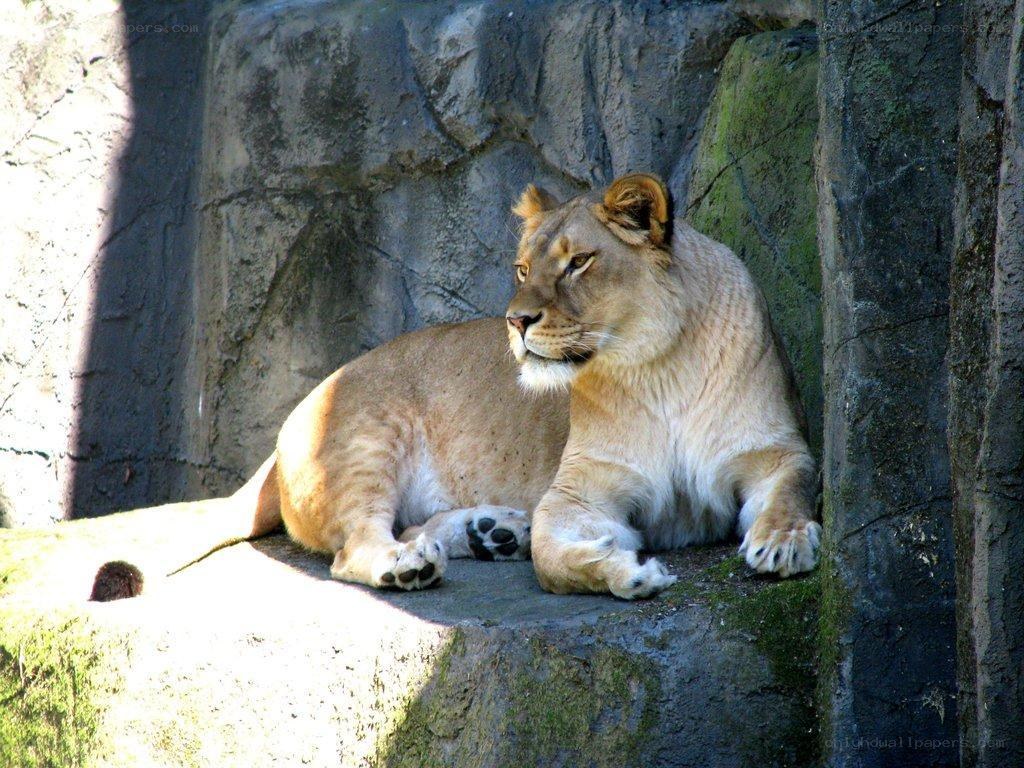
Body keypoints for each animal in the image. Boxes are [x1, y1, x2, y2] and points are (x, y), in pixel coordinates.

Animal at [94, 173, 820, 601]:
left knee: (416, 525)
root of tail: (282, 433)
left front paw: (784, 544)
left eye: (578, 263)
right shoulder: (582, 489)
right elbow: (555, 557)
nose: (516, 320)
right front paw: (624, 570)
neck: (656, 365)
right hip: (368, 436)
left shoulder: (778, 452)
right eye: (523, 268)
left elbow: (790, 491)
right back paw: (411, 564)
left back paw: (492, 532)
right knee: (357, 545)